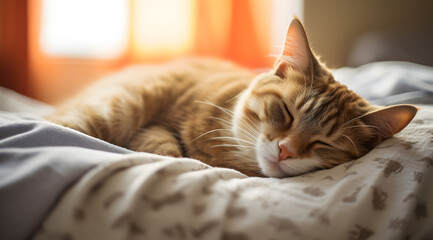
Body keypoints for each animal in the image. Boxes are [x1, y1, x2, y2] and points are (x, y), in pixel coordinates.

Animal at [46, 18, 416, 177]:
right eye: (286, 112)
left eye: (324, 143)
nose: (286, 150)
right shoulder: (148, 115)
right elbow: (165, 149)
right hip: (123, 104)